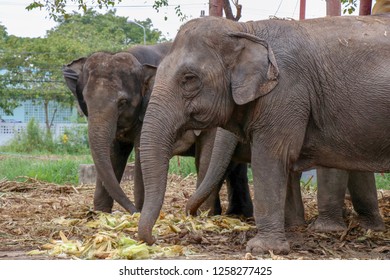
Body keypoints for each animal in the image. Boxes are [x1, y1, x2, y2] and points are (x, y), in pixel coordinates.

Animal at [60, 42, 250, 217]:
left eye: (122, 102)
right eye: (85, 100)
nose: (132, 211)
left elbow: (141, 154)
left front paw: (139, 212)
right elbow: (114, 153)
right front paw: (100, 214)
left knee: (207, 159)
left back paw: (209, 214)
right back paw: (235, 214)